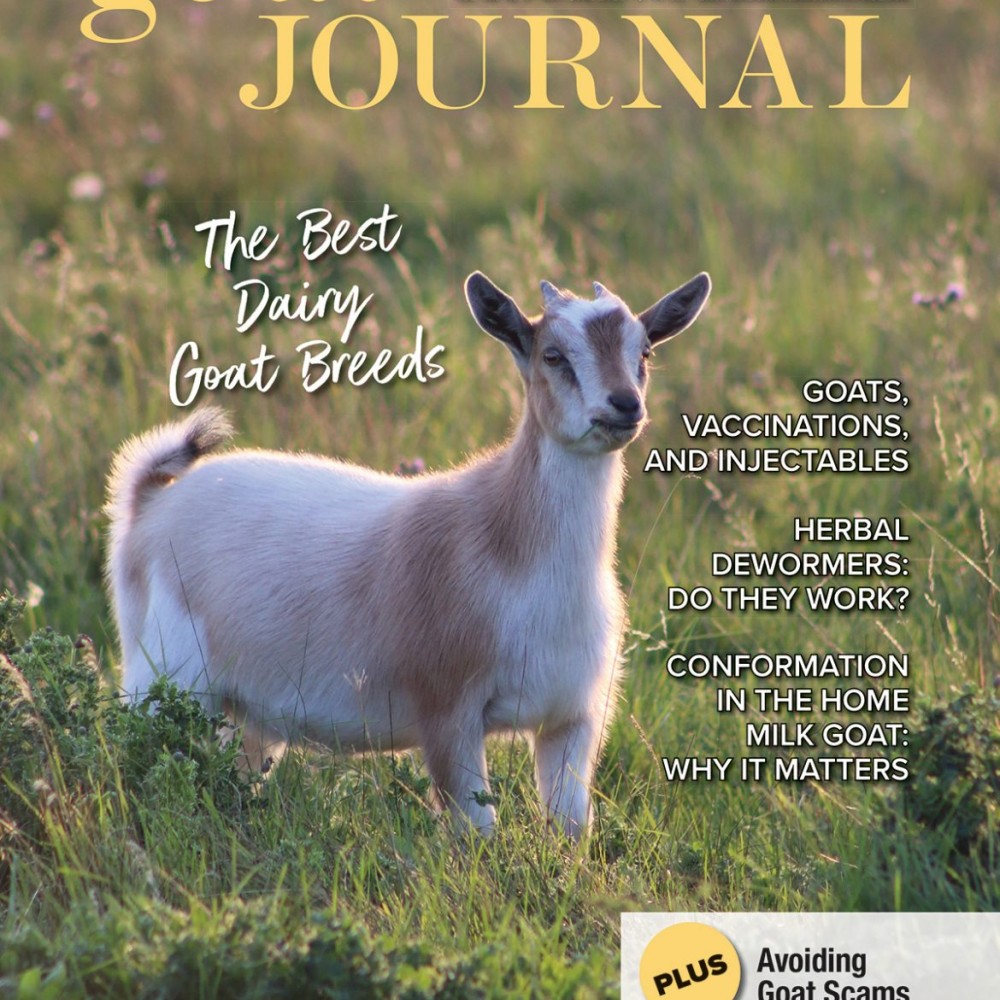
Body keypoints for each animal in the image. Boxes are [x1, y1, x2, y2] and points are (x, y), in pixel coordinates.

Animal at [105, 269, 711, 837]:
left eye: (645, 351)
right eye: (553, 354)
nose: (624, 405)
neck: (508, 544)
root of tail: (152, 500)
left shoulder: (572, 719)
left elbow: (570, 833)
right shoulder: (446, 712)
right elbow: (476, 835)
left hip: (243, 718)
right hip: (162, 682)